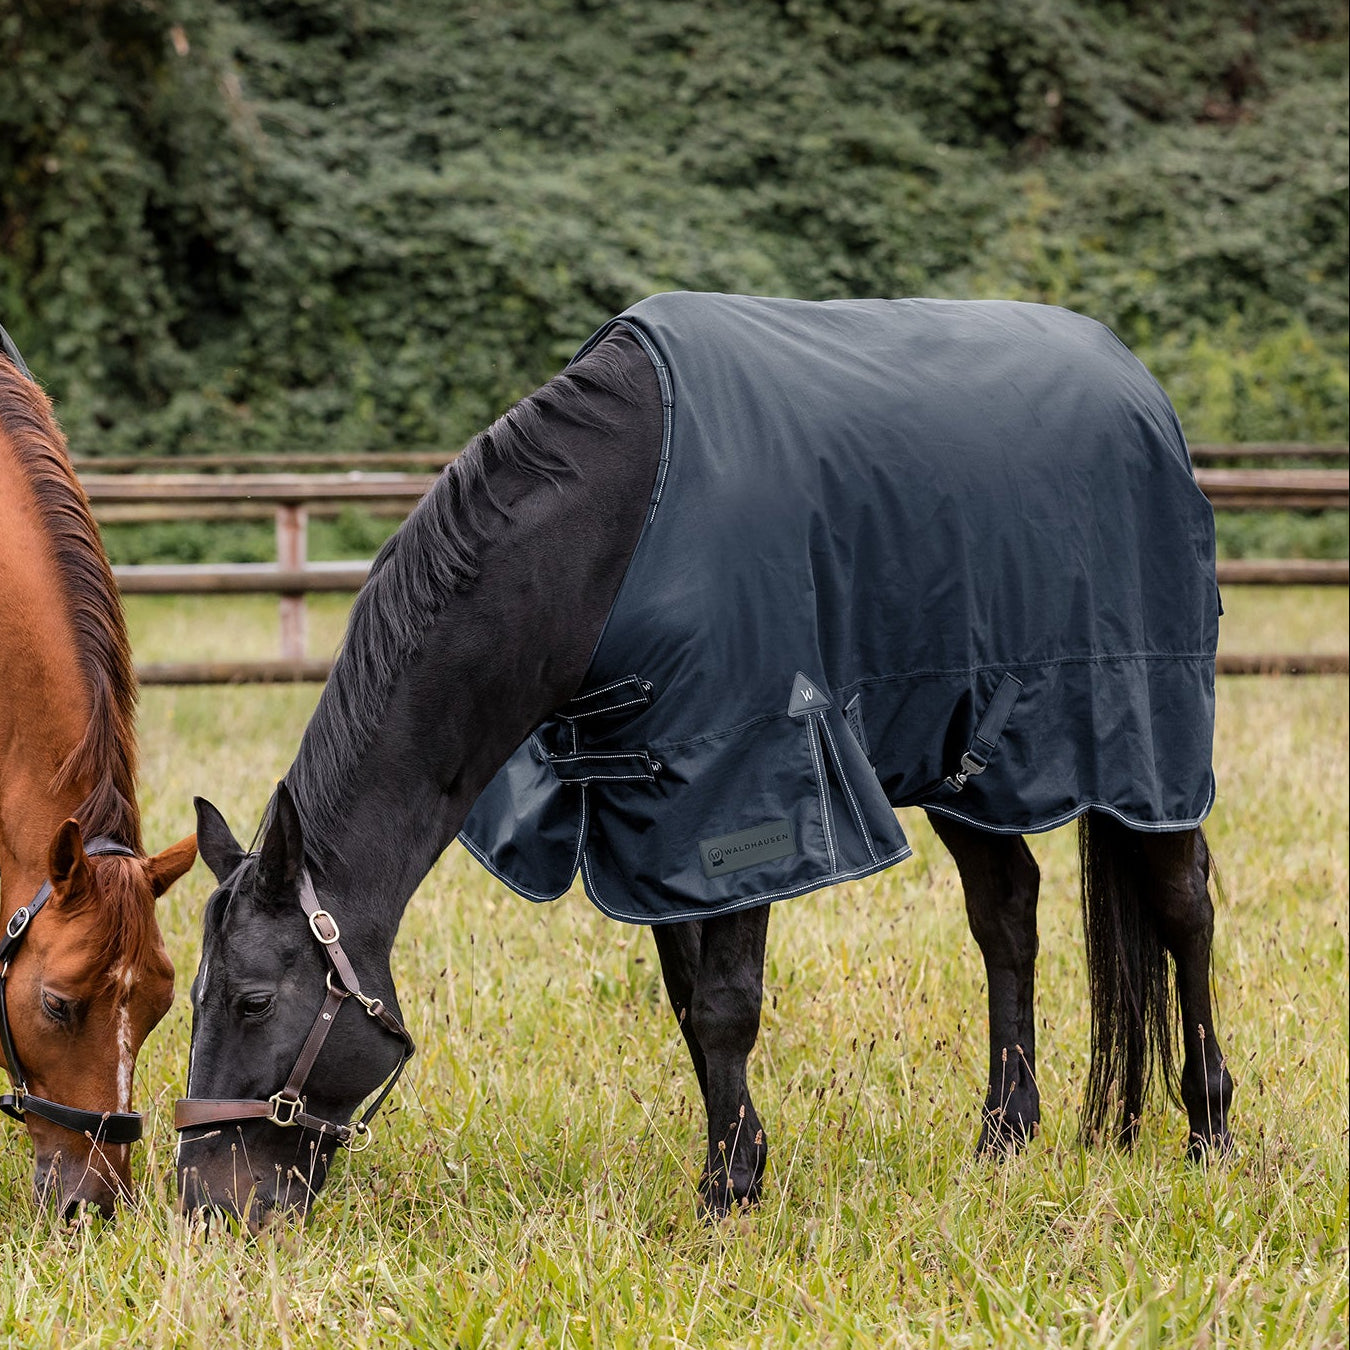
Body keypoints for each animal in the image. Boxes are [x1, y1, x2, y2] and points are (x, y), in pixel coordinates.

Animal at [176, 294, 1233, 1227]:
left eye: (253, 1000)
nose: (207, 1208)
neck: (611, 533)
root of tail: (1141, 390)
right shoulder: (651, 813)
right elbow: (691, 1007)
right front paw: (743, 1166)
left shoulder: (748, 784)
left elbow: (726, 1005)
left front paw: (726, 1197)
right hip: (969, 766)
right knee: (1007, 916)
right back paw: (1004, 1137)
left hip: (1148, 739)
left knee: (1183, 907)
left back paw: (1209, 1129)